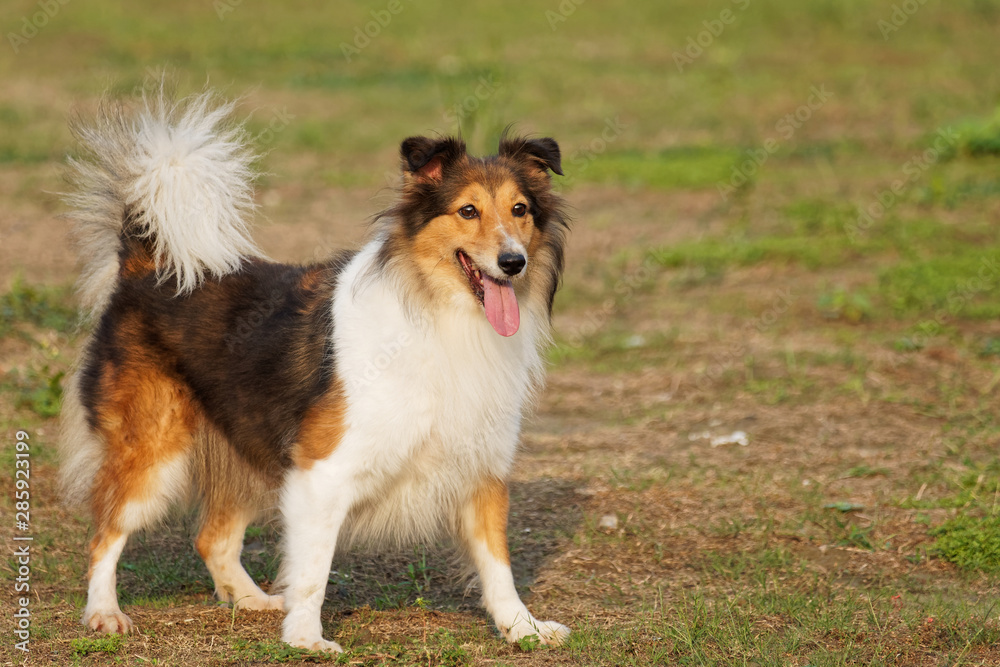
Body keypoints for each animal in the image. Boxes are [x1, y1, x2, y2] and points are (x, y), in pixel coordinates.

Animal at [58, 91, 572, 656]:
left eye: (520, 210)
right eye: (468, 211)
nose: (513, 262)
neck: (442, 314)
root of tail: (145, 265)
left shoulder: (482, 469)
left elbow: (498, 565)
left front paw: (522, 627)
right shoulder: (322, 472)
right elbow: (313, 572)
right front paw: (305, 637)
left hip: (251, 444)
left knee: (212, 537)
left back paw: (252, 599)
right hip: (153, 451)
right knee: (106, 532)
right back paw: (104, 612)